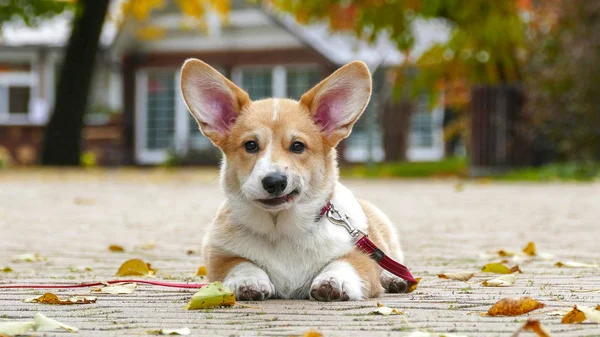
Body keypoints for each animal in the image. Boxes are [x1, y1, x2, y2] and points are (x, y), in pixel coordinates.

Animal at [180, 59, 410, 300]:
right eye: (250, 145)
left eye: (297, 146)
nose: (274, 182)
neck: (282, 231)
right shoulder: (218, 257)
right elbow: (241, 263)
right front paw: (249, 280)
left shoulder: (361, 256)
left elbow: (344, 263)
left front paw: (333, 281)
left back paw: (394, 279)